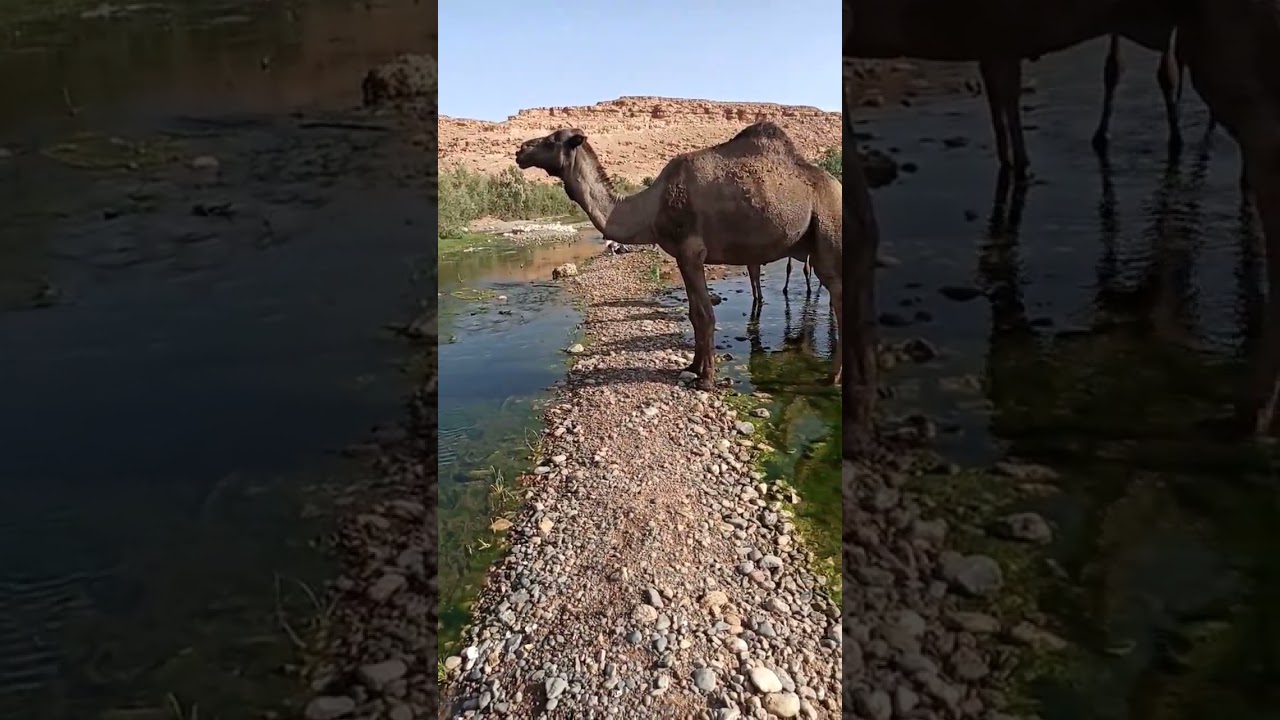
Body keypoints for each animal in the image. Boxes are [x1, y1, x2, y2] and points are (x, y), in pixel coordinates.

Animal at [515, 123, 842, 390]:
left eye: (551, 140)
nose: (520, 150)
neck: (650, 207)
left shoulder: (691, 251)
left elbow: (704, 315)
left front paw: (706, 380)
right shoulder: (680, 257)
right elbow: (694, 314)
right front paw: (692, 368)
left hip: (828, 230)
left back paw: (832, 378)